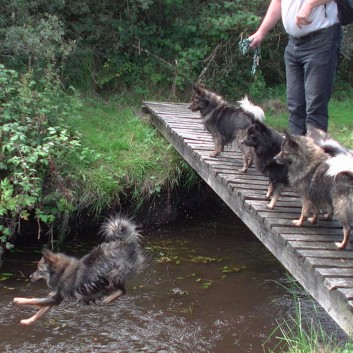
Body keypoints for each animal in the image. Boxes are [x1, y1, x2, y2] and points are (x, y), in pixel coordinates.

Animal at [12, 213, 144, 324]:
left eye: (39, 270)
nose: (30, 276)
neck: (61, 271)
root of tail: (127, 243)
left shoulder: (57, 298)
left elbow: (34, 300)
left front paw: (18, 300)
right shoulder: (56, 297)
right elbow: (40, 311)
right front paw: (28, 321)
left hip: (115, 274)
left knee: (122, 290)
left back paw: (108, 298)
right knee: (121, 291)